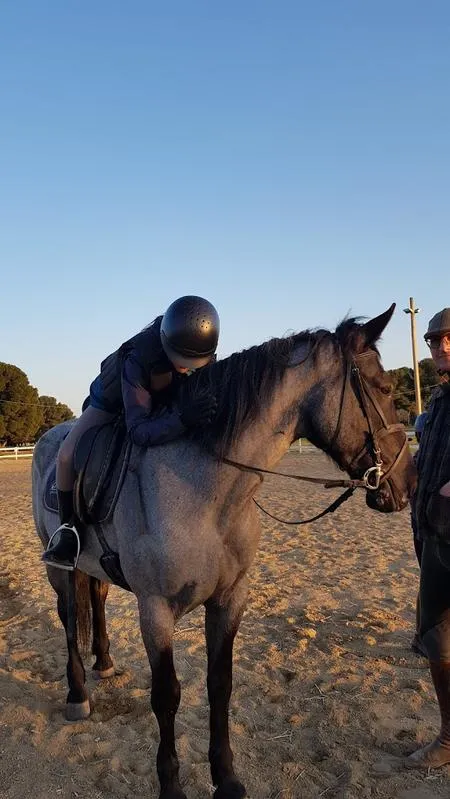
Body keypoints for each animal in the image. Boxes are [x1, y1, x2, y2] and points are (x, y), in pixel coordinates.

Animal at [31, 304, 415, 799]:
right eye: (384, 389)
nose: (408, 484)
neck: (207, 490)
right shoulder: (155, 610)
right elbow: (167, 695)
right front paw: (171, 785)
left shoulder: (230, 599)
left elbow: (220, 684)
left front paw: (227, 778)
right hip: (59, 567)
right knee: (66, 617)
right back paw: (78, 694)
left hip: (94, 566)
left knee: (94, 599)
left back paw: (105, 662)